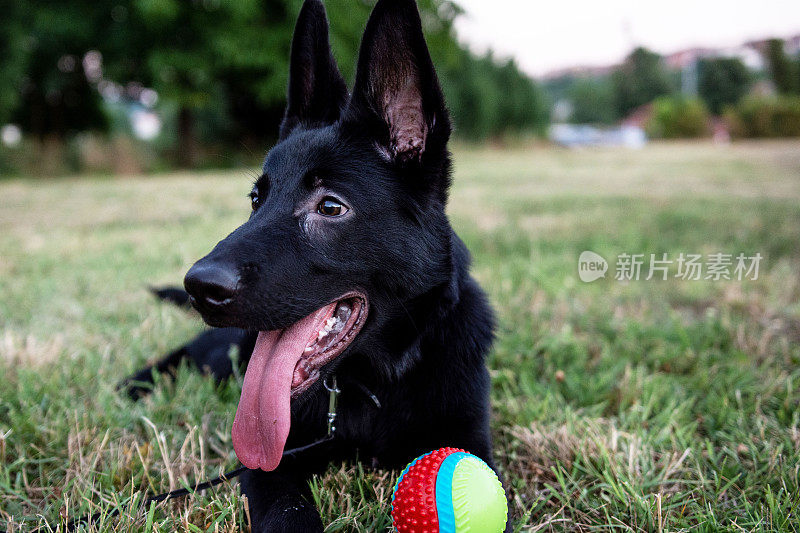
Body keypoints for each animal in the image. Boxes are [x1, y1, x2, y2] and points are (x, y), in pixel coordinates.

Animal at [123, 2, 500, 528]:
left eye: (330, 206)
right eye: (256, 198)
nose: (199, 287)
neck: (374, 383)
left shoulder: (469, 441)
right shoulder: (271, 463)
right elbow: (288, 511)